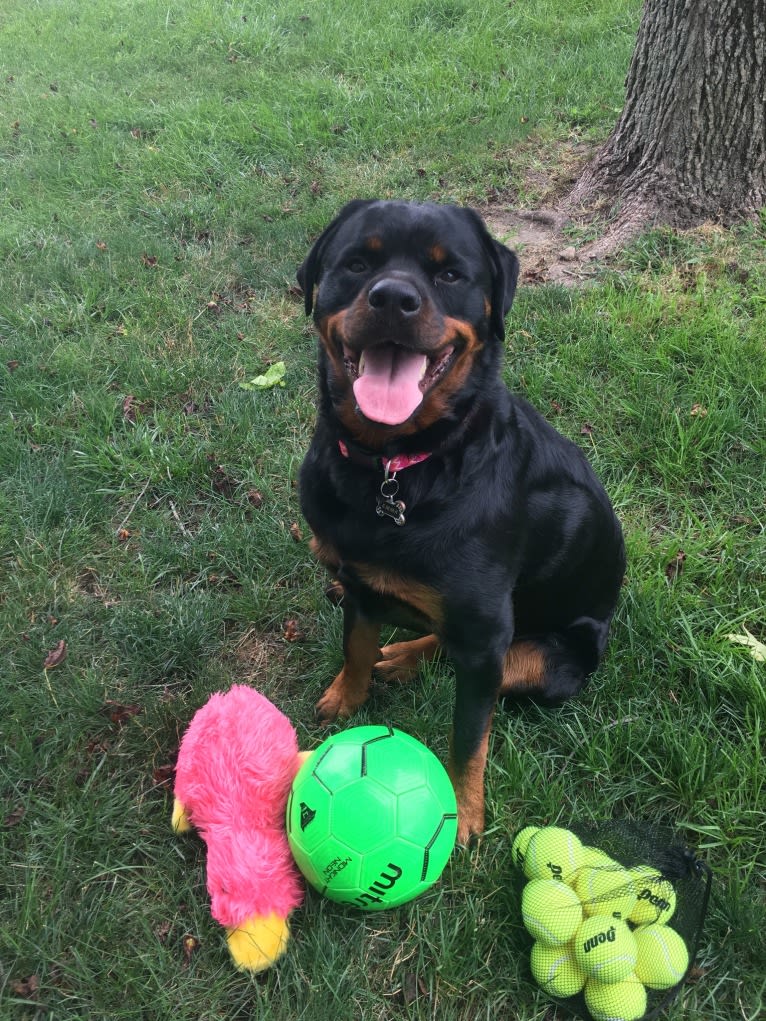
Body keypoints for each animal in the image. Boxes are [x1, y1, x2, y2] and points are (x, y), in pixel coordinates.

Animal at [296, 201, 625, 845]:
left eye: (450, 274)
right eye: (357, 263)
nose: (393, 298)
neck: (398, 466)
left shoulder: (485, 632)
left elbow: (469, 735)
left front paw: (465, 813)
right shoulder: (357, 582)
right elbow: (355, 646)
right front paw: (345, 699)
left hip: (549, 660)